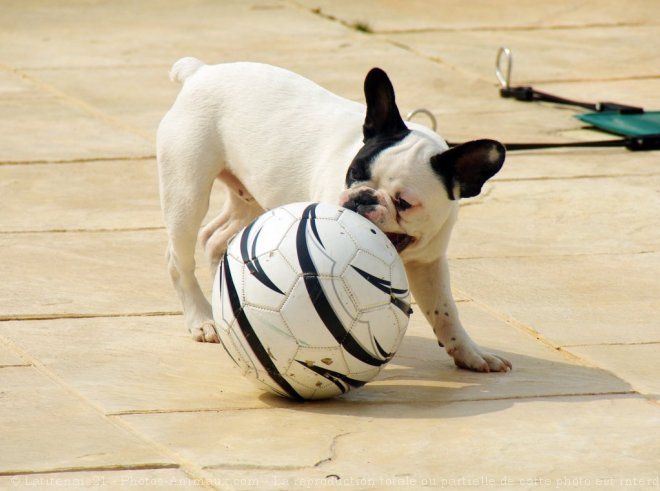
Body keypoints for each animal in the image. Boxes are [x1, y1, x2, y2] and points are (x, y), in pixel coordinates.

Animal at [156, 57, 510, 372]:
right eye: (353, 172)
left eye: (404, 202)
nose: (362, 198)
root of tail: (200, 72)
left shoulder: (429, 264)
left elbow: (445, 310)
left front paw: (470, 352)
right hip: (188, 190)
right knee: (178, 259)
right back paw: (202, 319)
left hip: (250, 196)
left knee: (214, 237)